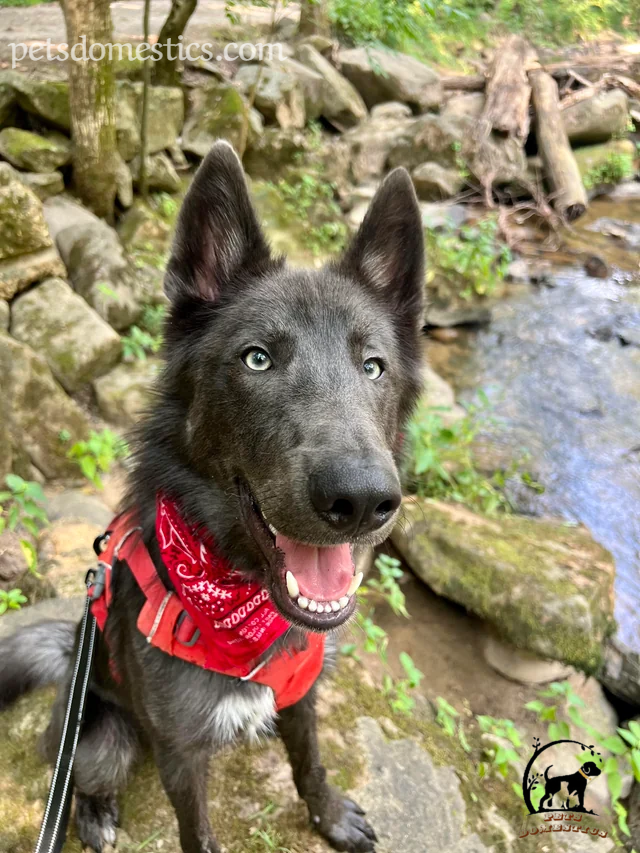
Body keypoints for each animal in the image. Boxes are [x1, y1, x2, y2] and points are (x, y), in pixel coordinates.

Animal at [1, 141, 430, 852]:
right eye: (257, 360)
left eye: (374, 367)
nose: (363, 502)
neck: (238, 600)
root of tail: (71, 653)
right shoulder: (180, 756)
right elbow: (197, 832)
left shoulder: (302, 700)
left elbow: (310, 763)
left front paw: (329, 815)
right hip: (100, 741)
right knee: (90, 775)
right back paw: (93, 815)